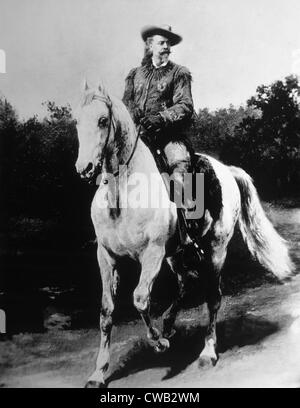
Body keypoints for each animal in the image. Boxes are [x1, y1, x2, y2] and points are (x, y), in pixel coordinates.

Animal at [75, 81, 292, 388]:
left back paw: (207, 353)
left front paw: (159, 344)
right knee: (185, 283)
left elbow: (140, 298)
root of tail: (226, 170)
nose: (84, 169)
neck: (124, 195)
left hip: (215, 251)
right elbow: (106, 311)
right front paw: (98, 373)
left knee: (212, 298)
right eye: (77, 121)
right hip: (177, 255)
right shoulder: (106, 257)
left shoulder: (152, 254)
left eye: (103, 120)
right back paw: (168, 324)